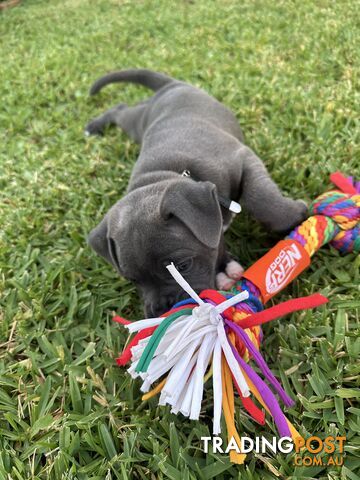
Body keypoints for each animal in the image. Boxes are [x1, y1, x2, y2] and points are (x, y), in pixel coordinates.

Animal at [86, 67, 306, 316]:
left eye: (183, 266)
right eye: (133, 280)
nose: (162, 310)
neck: (169, 175)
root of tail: (171, 85)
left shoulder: (243, 158)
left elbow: (262, 201)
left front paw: (297, 215)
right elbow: (215, 242)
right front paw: (223, 268)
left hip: (137, 121)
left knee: (122, 107)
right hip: (138, 123)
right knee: (121, 109)